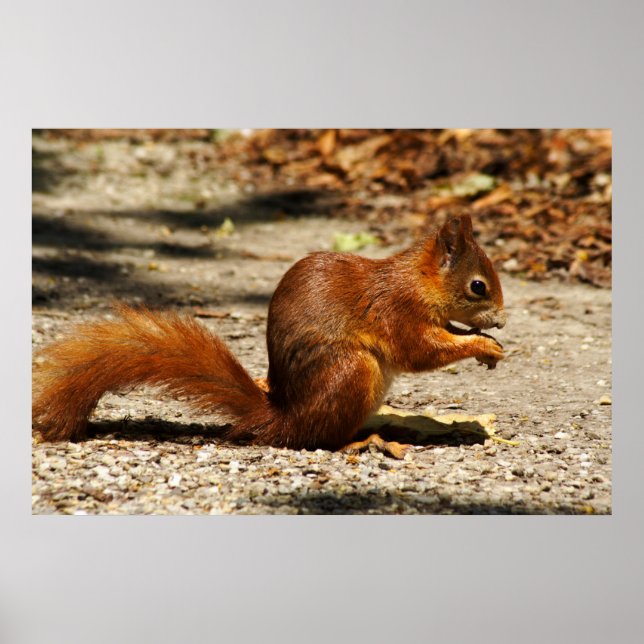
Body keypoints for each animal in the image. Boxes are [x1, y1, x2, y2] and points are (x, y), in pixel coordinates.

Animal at [32, 213, 507, 452]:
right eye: (478, 286)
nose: (502, 321)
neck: (417, 280)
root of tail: (284, 417)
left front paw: (487, 344)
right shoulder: (398, 311)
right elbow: (421, 351)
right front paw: (482, 344)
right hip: (354, 372)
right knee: (319, 440)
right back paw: (366, 442)